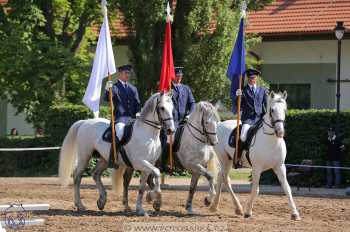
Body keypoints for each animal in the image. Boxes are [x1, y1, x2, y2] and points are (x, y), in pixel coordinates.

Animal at [208, 91, 300, 220]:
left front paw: (295, 213)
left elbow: (287, 188)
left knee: (222, 177)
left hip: (228, 161)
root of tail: (221, 123)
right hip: (224, 159)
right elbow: (256, 189)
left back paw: (217, 206)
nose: (280, 132)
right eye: (272, 110)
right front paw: (248, 212)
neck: (271, 141)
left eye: (285, 109)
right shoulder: (257, 168)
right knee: (225, 178)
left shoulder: (280, 167)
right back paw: (236, 208)